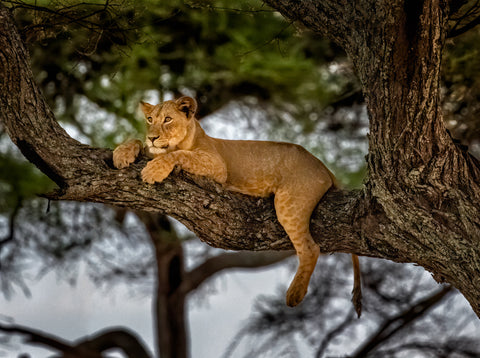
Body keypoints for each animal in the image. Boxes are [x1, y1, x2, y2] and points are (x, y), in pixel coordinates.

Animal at [112, 95, 360, 310]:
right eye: (149, 119)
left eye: (168, 119)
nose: (152, 137)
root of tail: (323, 166)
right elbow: (138, 142)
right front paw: (122, 153)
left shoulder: (217, 166)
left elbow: (179, 155)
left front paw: (154, 170)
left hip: (289, 203)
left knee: (310, 248)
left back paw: (294, 295)